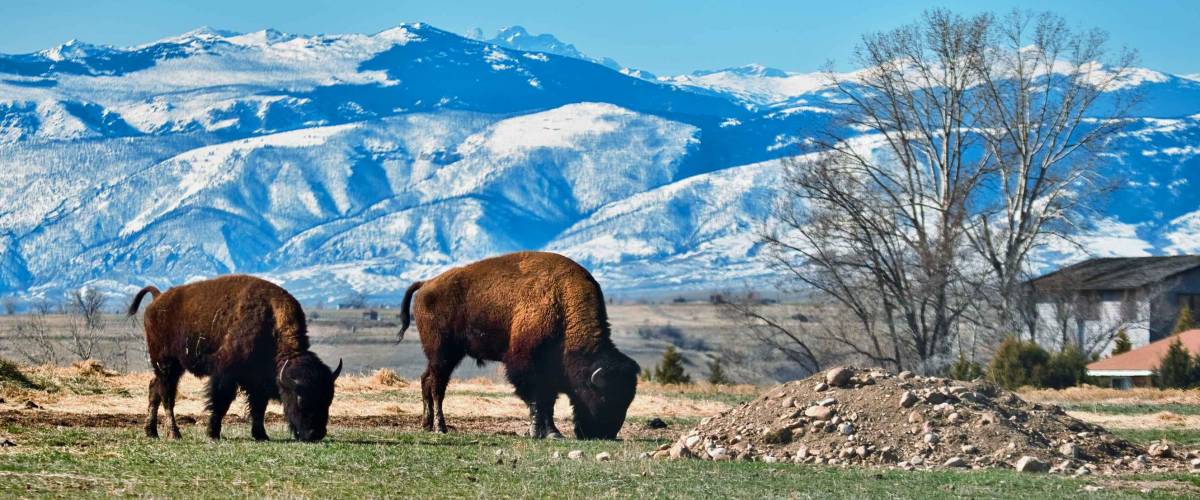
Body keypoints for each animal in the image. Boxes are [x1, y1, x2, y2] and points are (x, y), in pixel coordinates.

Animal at [127, 274, 343, 441]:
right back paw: (174, 434)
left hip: (169, 367)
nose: (315, 434)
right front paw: (213, 433)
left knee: (154, 389)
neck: (271, 322)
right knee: (167, 396)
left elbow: (259, 407)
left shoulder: (258, 381)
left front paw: (261, 435)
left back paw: (151, 432)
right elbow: (221, 402)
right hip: (167, 364)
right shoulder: (225, 374)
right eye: (300, 399)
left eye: (328, 399)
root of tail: (158, 299)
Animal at [398, 251, 643, 438]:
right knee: (437, 386)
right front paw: (540, 432)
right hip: (443, 354)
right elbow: (537, 401)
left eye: (627, 401)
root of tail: (426, 284)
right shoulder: (525, 365)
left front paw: (551, 432)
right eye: (603, 396)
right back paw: (440, 427)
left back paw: (427, 424)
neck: (562, 304)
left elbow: (548, 403)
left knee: (426, 380)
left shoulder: (550, 373)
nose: (605, 434)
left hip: (442, 356)